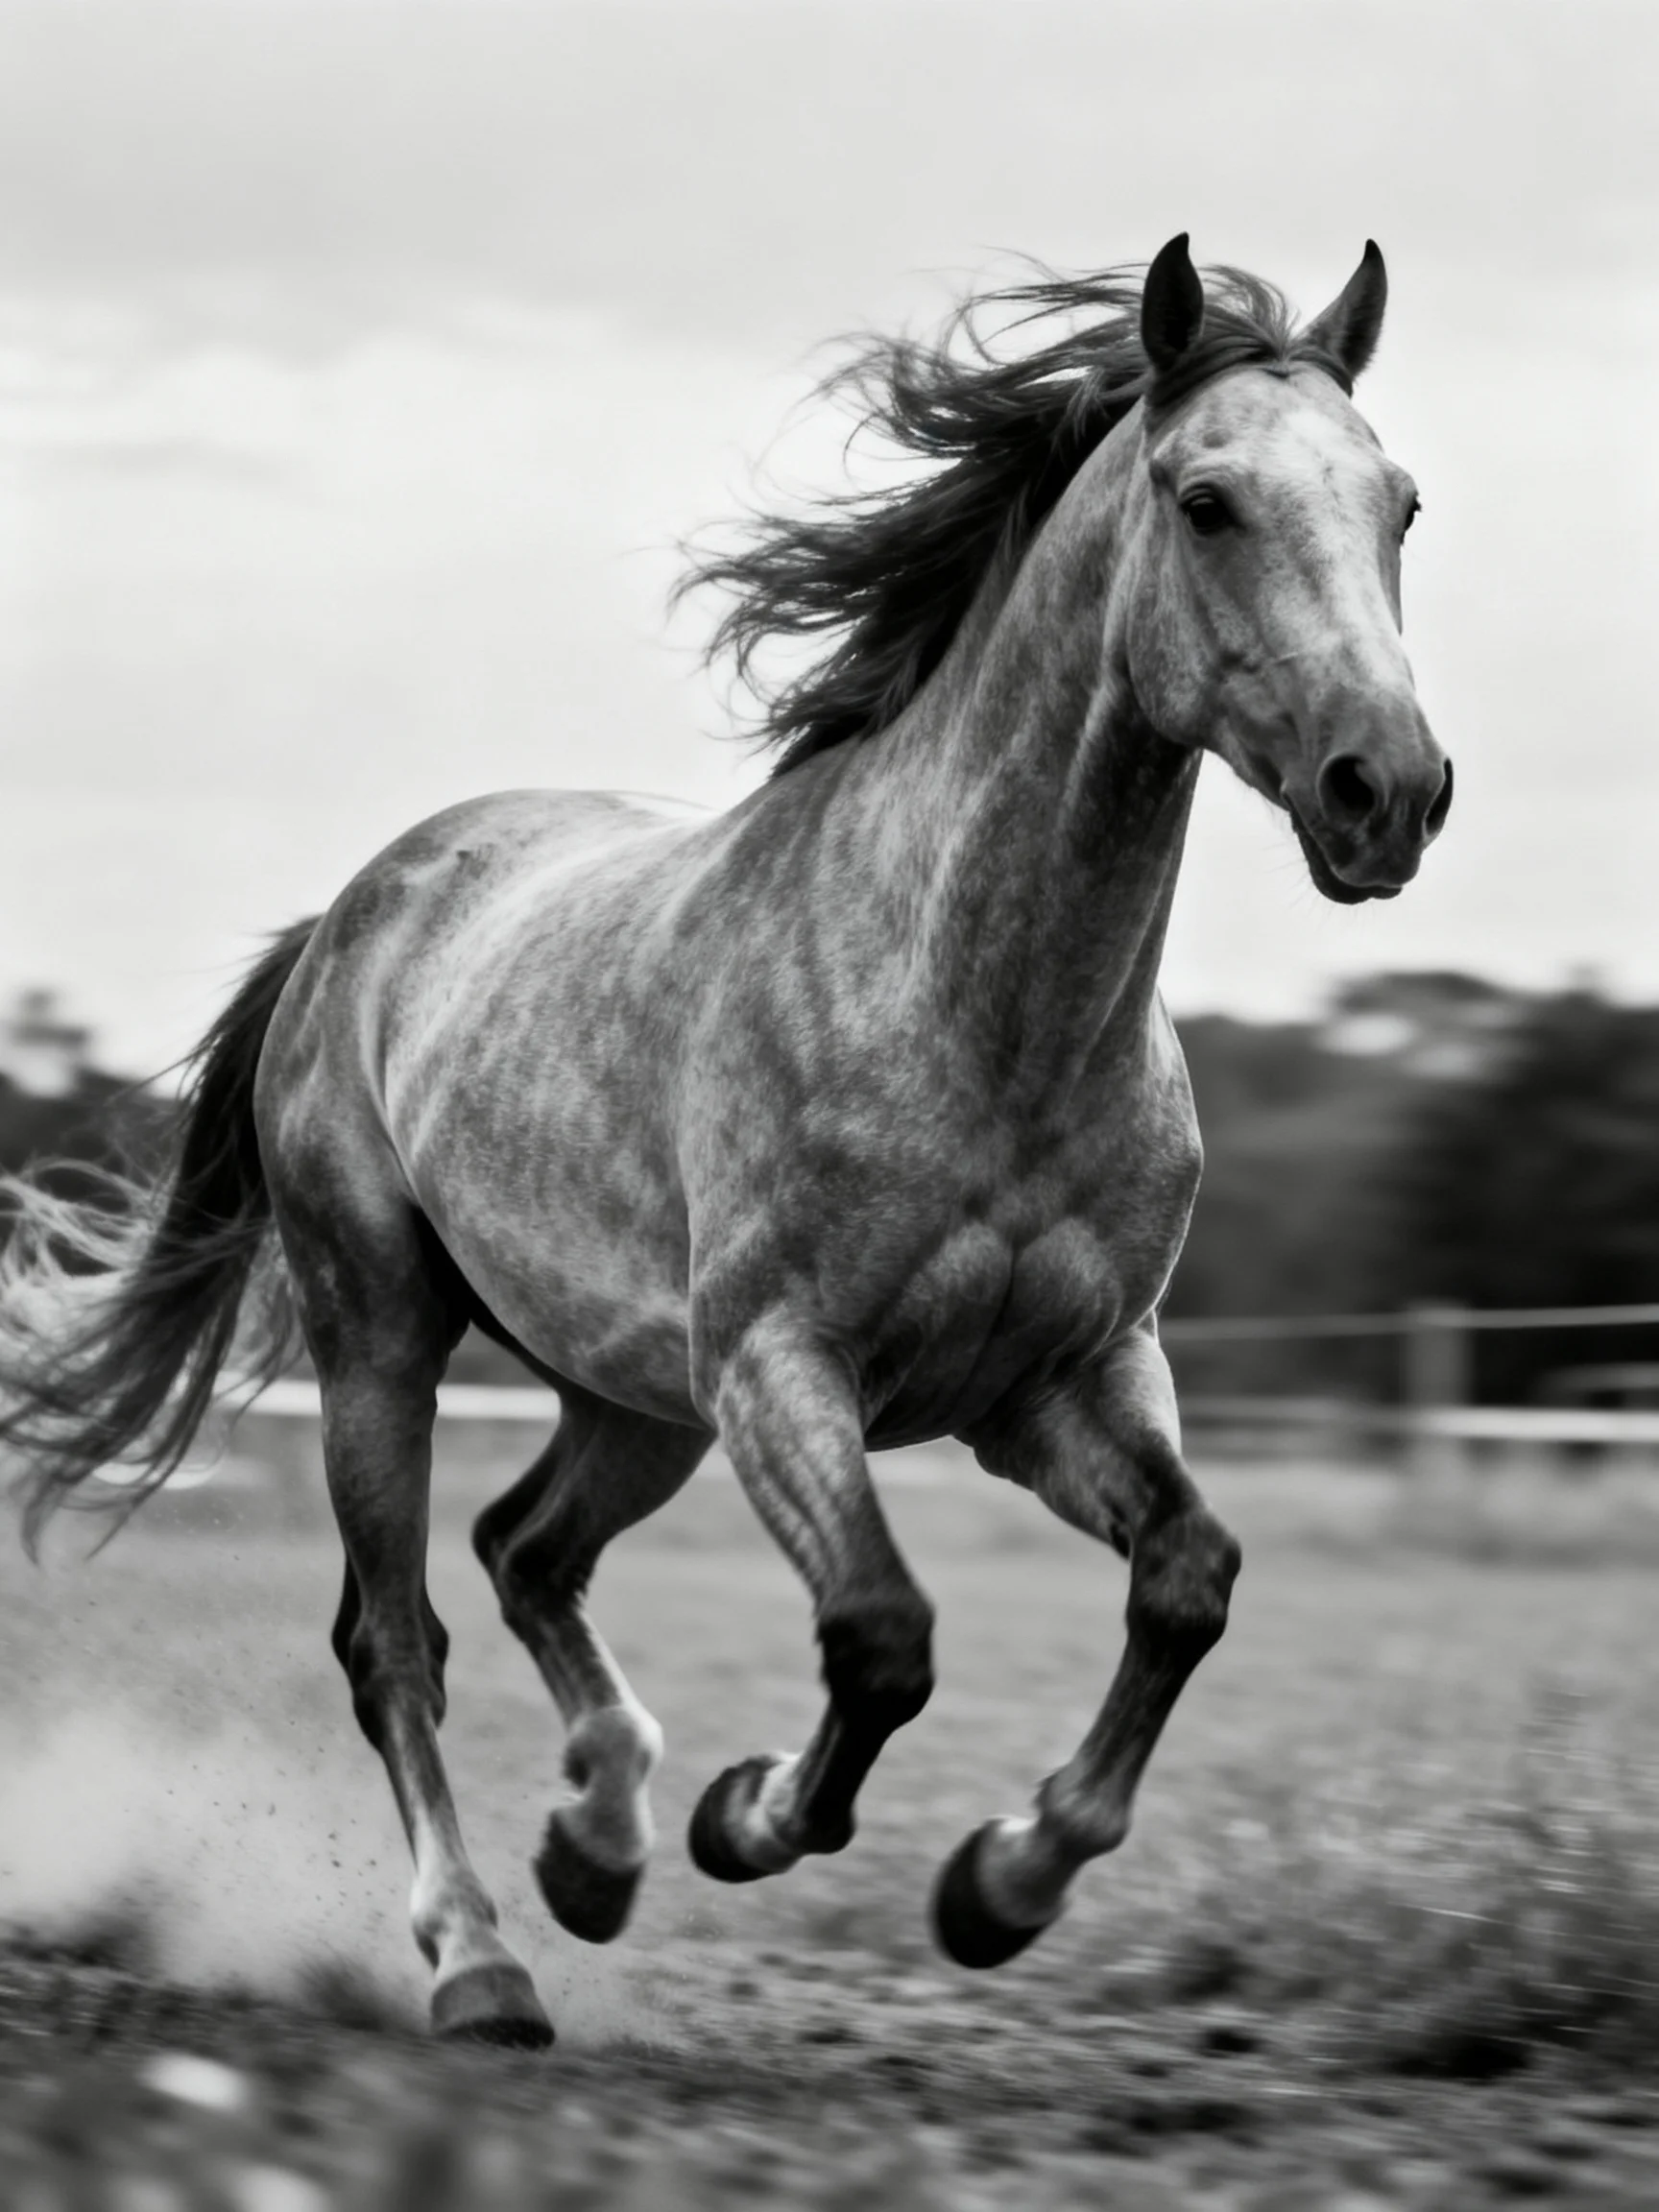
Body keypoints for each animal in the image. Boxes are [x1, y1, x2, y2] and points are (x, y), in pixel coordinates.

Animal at [0, 236, 1450, 2048]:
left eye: (1401, 503)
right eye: (1205, 501)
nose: (1388, 791)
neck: (985, 1016)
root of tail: (352, 913)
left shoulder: (1065, 1377)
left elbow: (1188, 1574)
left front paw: (1002, 1879)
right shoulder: (782, 1364)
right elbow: (883, 1635)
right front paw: (755, 1818)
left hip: (635, 1397)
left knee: (524, 1549)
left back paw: (594, 1845)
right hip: (386, 1338)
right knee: (395, 1637)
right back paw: (483, 1959)